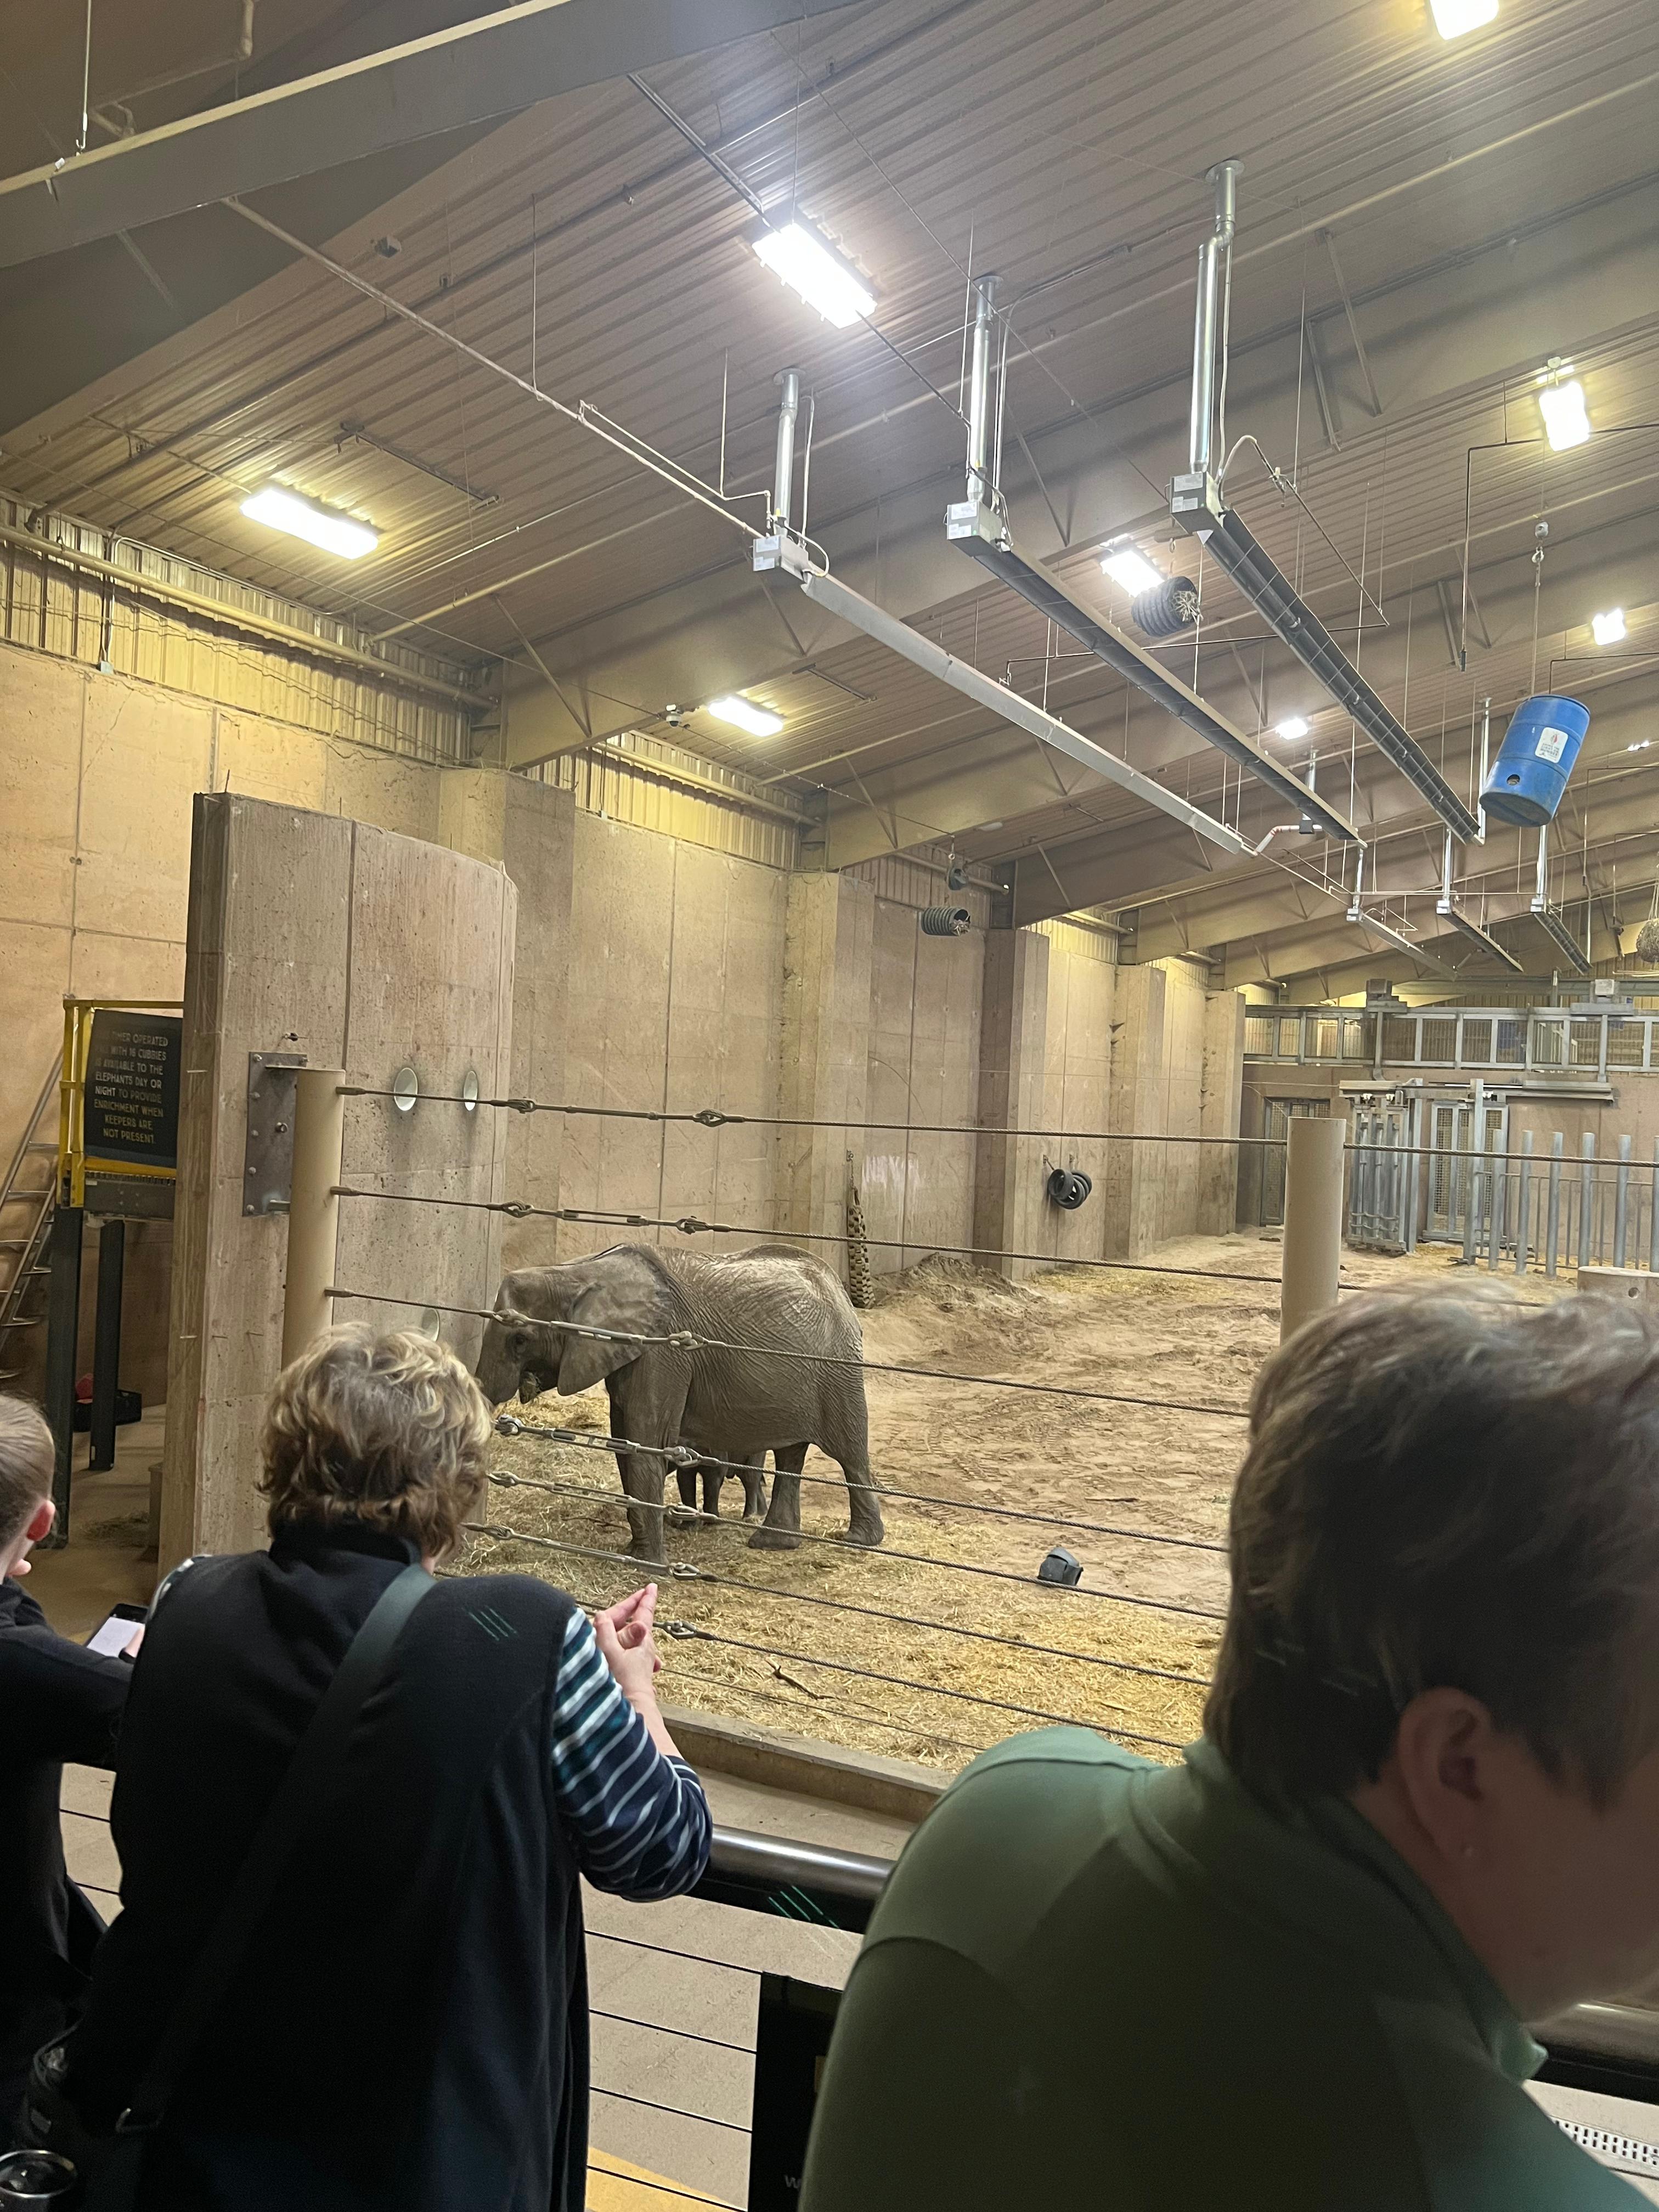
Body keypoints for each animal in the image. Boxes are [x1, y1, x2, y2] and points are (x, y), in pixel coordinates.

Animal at [477, 1238, 884, 1566]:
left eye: (519, 1340)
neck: (578, 1272)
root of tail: (839, 1290)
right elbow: (624, 1445)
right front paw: (635, 1551)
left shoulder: (664, 1351)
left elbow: (646, 1442)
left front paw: (647, 1565)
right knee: (791, 1456)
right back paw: (772, 1543)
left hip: (839, 1369)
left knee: (849, 1452)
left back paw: (859, 1541)